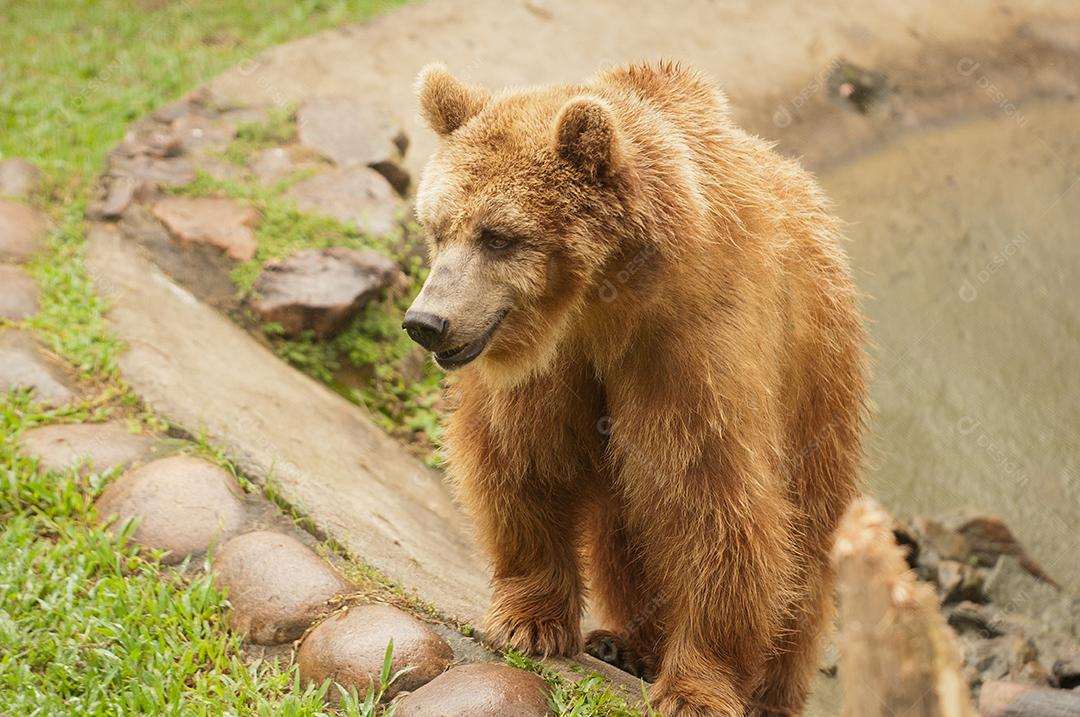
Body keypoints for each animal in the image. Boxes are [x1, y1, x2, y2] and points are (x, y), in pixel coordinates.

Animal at [402, 60, 868, 717]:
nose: (427, 322)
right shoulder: (554, 365)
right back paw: (625, 644)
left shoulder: (691, 348)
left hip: (819, 391)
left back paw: (768, 690)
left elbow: (712, 503)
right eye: (438, 228)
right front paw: (528, 621)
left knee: (803, 555)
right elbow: (523, 458)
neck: (606, 303)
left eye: (498, 236)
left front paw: (697, 689)